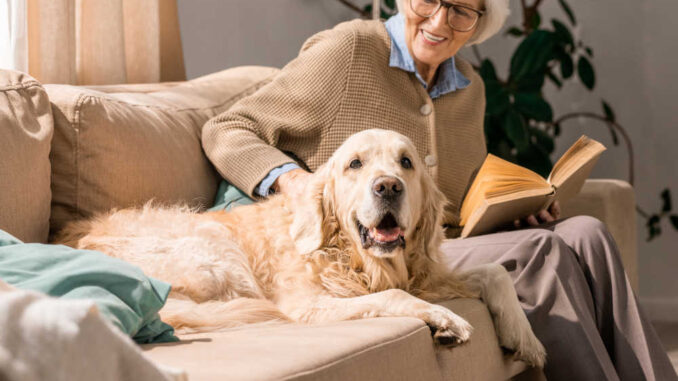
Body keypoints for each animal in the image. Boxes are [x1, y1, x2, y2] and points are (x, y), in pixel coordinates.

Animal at [57, 129, 548, 366]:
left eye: (406, 162)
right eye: (354, 164)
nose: (388, 187)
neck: (351, 256)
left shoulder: (426, 274)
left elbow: (495, 272)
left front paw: (524, 337)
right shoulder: (309, 306)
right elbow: (394, 296)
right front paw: (446, 319)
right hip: (214, 251)